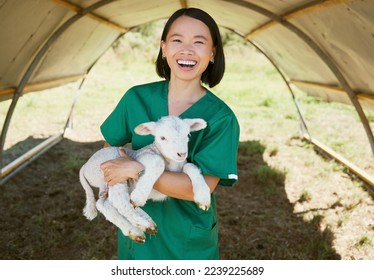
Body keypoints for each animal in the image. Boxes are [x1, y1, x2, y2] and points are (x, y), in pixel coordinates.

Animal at [78, 115, 210, 244]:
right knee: (119, 201)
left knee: (104, 203)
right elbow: (158, 161)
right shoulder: (141, 157)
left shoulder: (181, 168)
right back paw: (144, 223)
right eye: (162, 138)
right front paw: (139, 196)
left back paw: (135, 229)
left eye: (188, 135)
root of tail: (85, 166)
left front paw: (203, 197)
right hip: (113, 173)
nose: (182, 154)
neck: (172, 164)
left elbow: (191, 166)